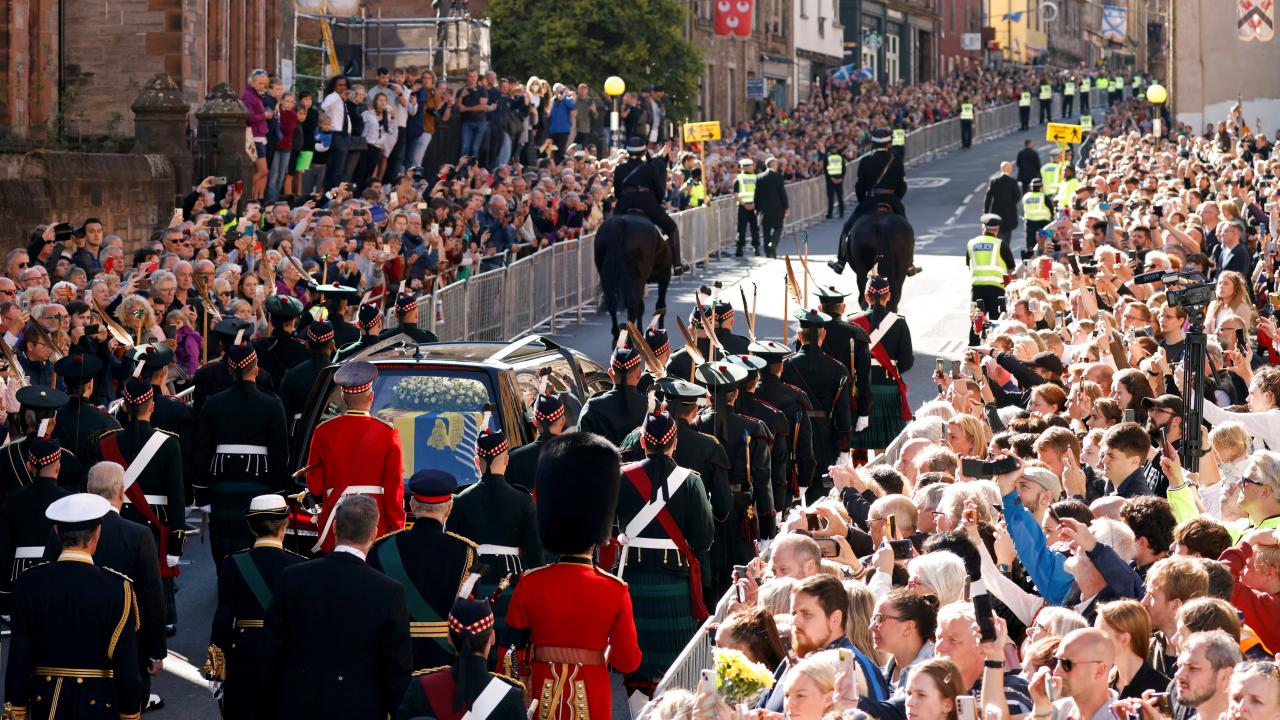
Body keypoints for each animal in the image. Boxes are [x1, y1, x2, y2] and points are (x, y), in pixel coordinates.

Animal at [593, 210, 675, 338]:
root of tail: (618, 222)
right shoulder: (664, 278)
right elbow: (660, 307)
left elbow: (643, 307)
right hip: (636, 279)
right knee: (633, 307)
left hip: (608, 277)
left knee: (614, 304)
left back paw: (617, 335)